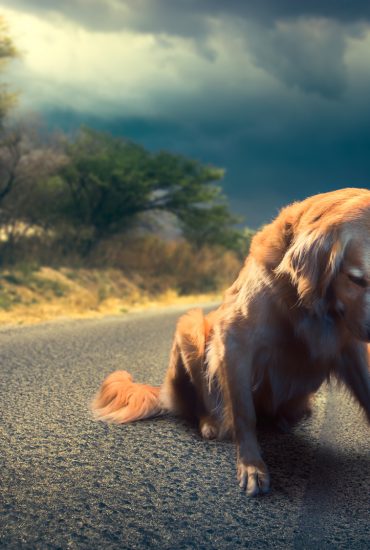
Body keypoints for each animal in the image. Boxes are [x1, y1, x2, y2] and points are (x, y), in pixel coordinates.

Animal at [92, 188, 370, 498]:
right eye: (356, 279)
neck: (307, 305)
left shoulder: (352, 348)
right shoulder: (234, 340)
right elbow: (243, 412)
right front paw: (252, 467)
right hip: (191, 325)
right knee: (202, 404)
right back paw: (210, 424)